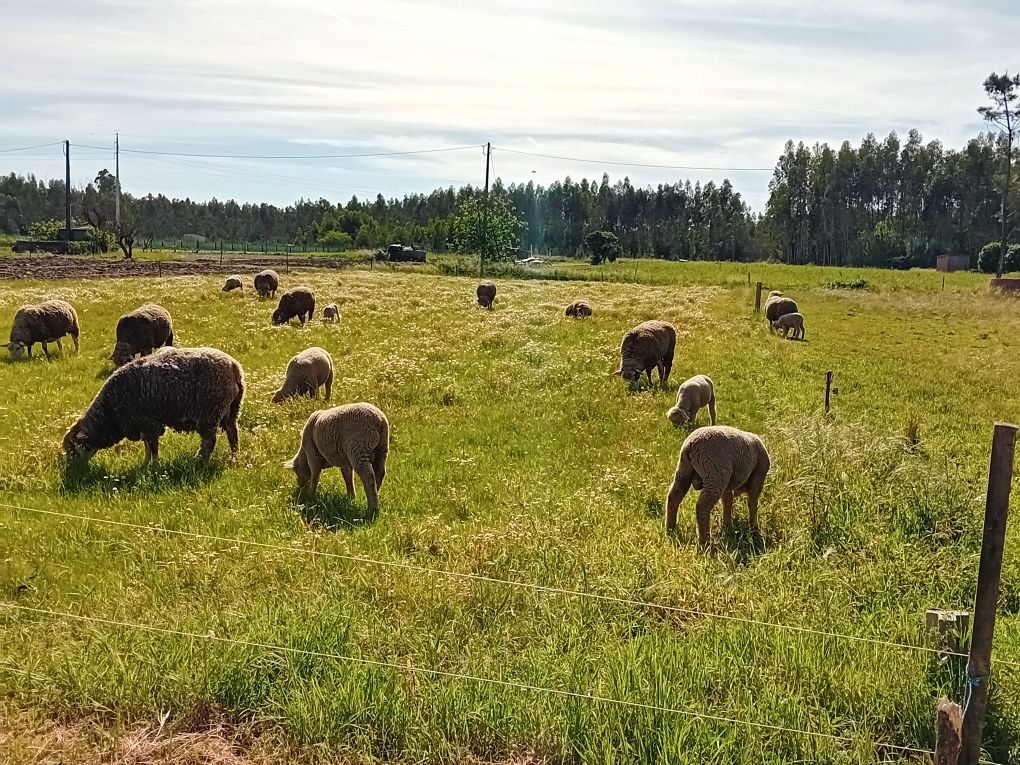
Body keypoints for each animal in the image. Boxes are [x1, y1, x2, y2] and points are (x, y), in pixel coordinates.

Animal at [64, 346, 245, 467]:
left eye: (73, 448)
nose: (73, 469)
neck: (110, 412)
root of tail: (233, 366)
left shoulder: (148, 422)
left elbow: (153, 447)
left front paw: (154, 467)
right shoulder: (143, 425)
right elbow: (147, 447)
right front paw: (145, 464)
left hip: (210, 413)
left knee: (209, 441)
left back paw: (200, 462)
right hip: (231, 409)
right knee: (233, 434)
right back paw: (234, 458)